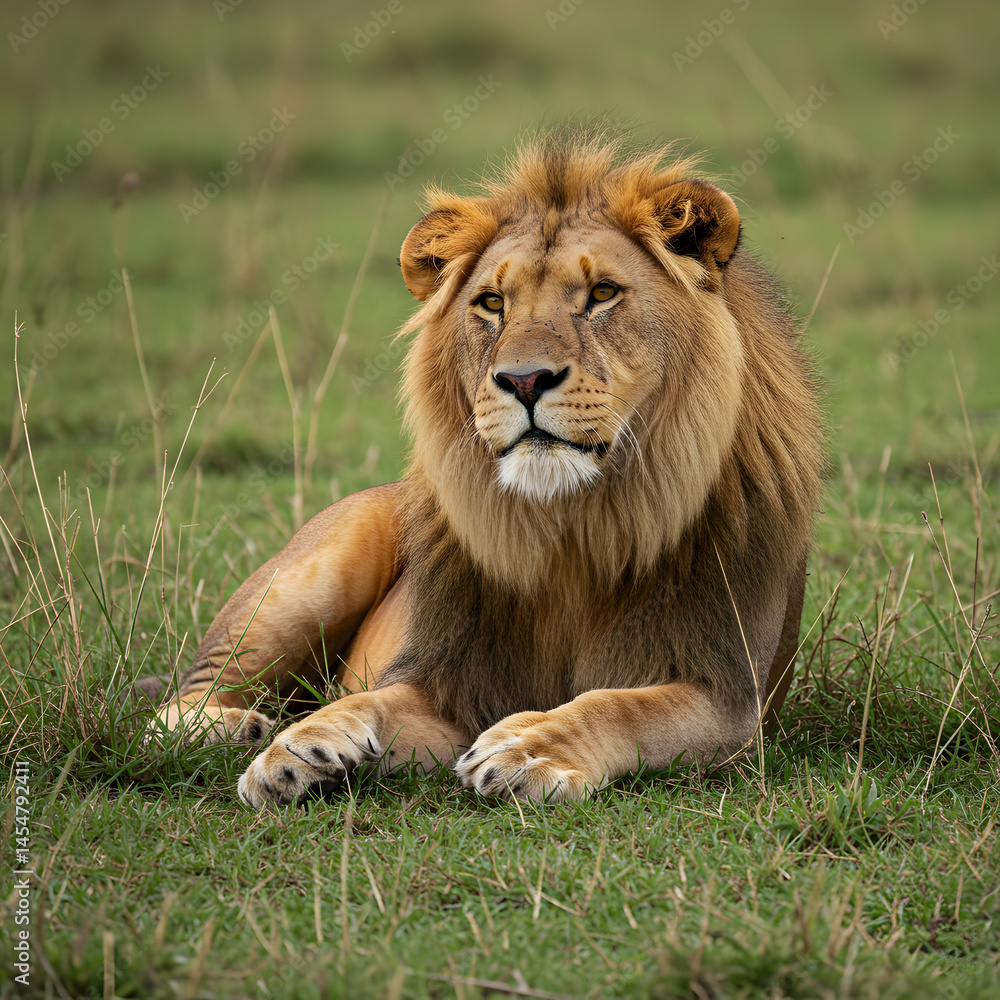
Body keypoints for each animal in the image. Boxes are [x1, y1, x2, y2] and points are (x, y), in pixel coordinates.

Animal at [155, 133, 824, 806]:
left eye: (602, 294)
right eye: (493, 303)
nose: (524, 380)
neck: (571, 530)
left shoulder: (728, 696)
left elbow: (618, 705)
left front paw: (529, 747)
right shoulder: (450, 682)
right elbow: (372, 701)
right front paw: (296, 749)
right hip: (313, 574)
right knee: (188, 693)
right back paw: (238, 728)